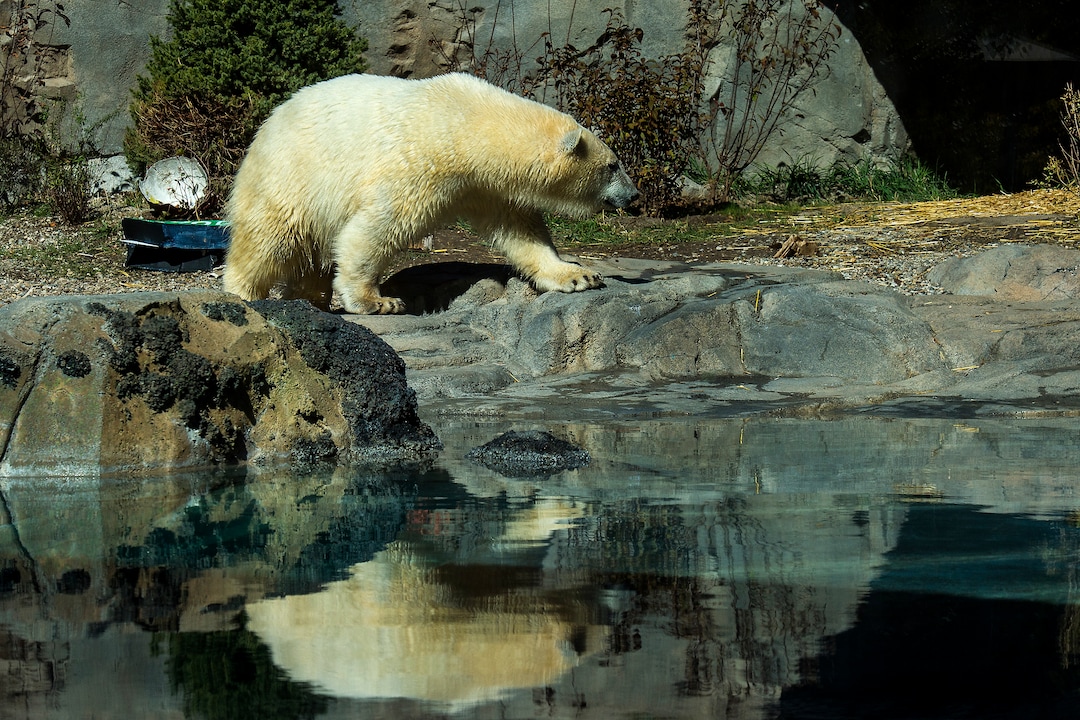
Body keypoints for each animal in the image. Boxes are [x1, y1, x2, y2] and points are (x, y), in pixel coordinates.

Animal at [223, 72, 639, 314]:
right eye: (613, 165)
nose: (634, 196)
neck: (470, 123)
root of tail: (266, 126)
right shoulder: (423, 161)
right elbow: (377, 226)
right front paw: (377, 300)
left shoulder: (485, 185)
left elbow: (521, 232)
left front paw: (578, 276)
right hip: (291, 175)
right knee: (269, 239)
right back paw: (244, 294)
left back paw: (311, 299)